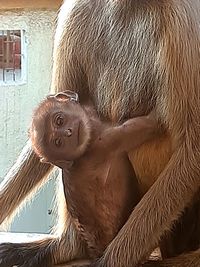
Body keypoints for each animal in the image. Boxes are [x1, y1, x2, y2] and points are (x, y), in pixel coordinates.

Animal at [30, 90, 158, 260]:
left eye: (59, 121)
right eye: (58, 142)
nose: (68, 132)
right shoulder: (103, 143)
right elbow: (146, 128)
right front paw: (157, 117)